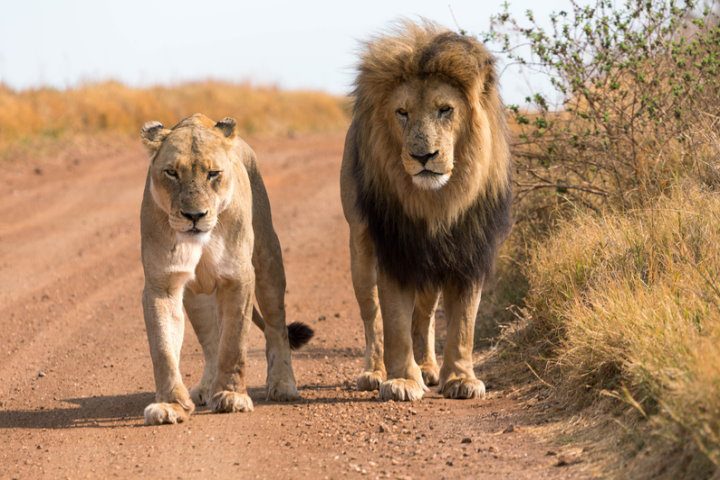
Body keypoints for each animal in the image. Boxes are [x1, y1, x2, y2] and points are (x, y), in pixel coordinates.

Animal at [139, 113, 310, 424]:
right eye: (171, 173)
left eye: (213, 173)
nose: (194, 216)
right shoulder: (163, 283)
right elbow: (164, 349)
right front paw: (170, 404)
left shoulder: (238, 277)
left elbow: (233, 342)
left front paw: (232, 395)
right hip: (197, 294)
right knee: (210, 343)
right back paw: (206, 387)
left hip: (267, 260)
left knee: (276, 327)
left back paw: (283, 384)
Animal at [338, 22, 512, 402]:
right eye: (401, 113)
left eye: (445, 109)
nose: (423, 156)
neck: (437, 203)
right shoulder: (395, 249)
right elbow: (394, 322)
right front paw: (402, 381)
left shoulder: (467, 251)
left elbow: (463, 326)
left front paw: (460, 378)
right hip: (360, 249)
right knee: (372, 315)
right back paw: (375, 372)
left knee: (426, 315)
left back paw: (430, 367)